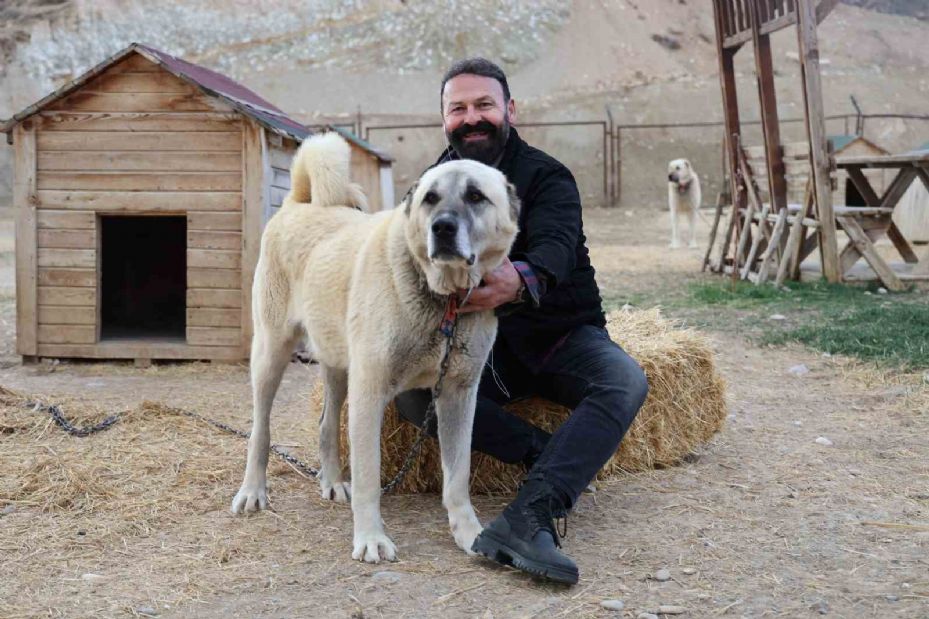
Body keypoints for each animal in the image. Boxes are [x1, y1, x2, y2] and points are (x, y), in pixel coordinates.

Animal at [230, 133, 520, 564]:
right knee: (260, 430)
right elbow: (368, 475)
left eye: (475, 196)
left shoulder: (457, 396)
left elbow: (458, 476)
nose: (442, 228)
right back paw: (252, 491)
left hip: (337, 365)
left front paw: (469, 533)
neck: (443, 299)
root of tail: (299, 202)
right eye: (430, 198)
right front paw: (370, 537)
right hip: (271, 353)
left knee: (327, 424)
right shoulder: (370, 392)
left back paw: (332, 482)